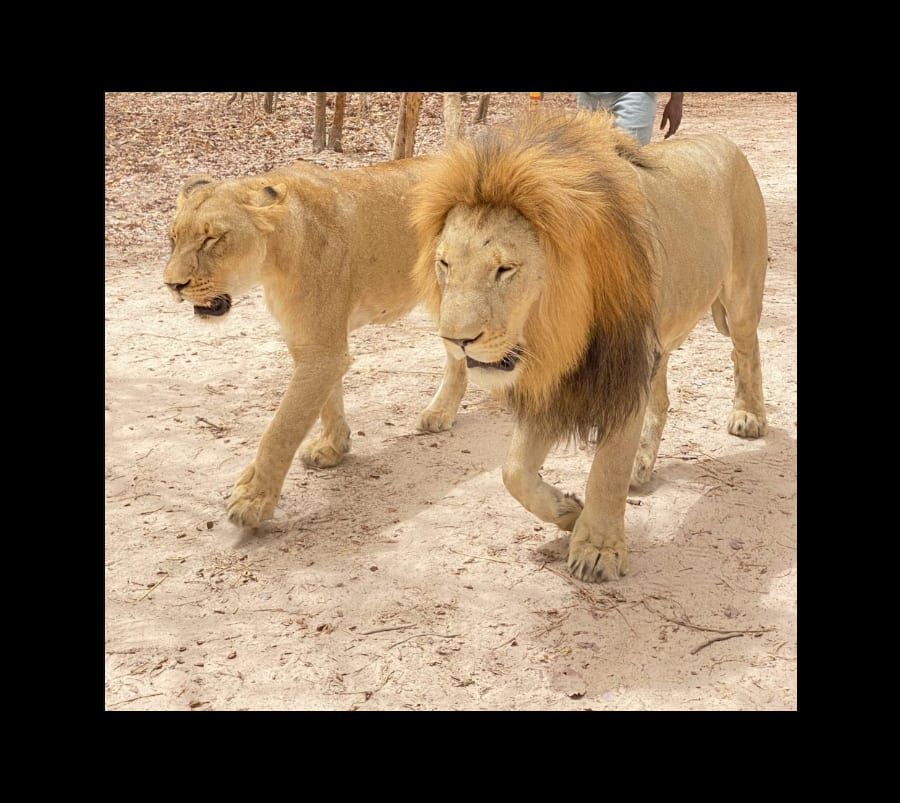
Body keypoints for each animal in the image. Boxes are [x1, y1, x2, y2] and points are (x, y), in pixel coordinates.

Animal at [163, 157, 468, 528]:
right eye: (173, 238)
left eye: (212, 238)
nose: (172, 285)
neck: (275, 259)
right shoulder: (312, 344)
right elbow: (326, 401)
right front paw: (333, 447)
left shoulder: (323, 351)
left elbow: (282, 427)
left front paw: (253, 498)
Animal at [411, 111, 768, 583]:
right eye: (444, 263)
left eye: (505, 269)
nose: (455, 340)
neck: (558, 330)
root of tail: (724, 142)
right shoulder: (559, 379)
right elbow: (513, 471)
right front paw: (567, 512)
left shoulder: (622, 367)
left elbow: (607, 468)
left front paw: (598, 549)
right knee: (662, 399)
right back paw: (642, 465)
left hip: (741, 296)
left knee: (746, 351)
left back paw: (749, 416)